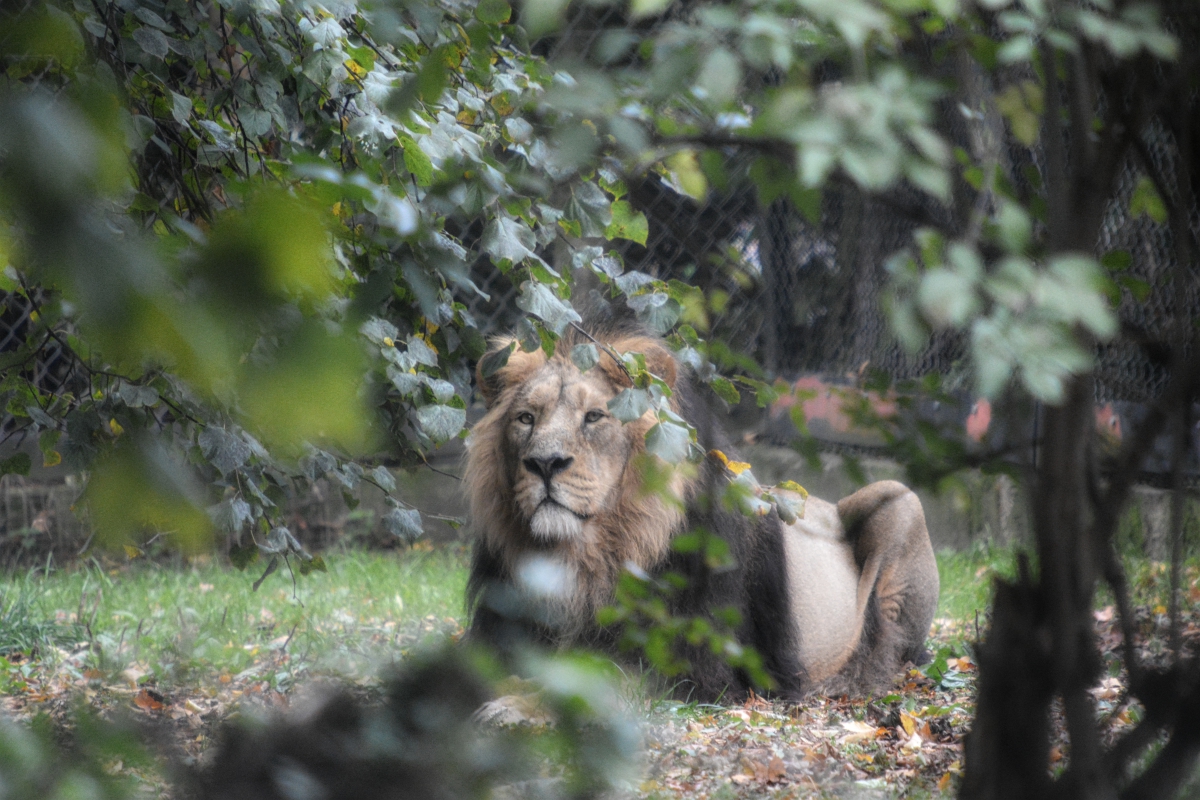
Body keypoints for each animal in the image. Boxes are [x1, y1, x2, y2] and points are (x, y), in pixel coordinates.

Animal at [464, 315, 939, 701]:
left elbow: (592, 683)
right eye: (526, 418)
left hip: (901, 498)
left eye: (594, 417)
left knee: (894, 647)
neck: (586, 556)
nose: (544, 464)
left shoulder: (694, 666)